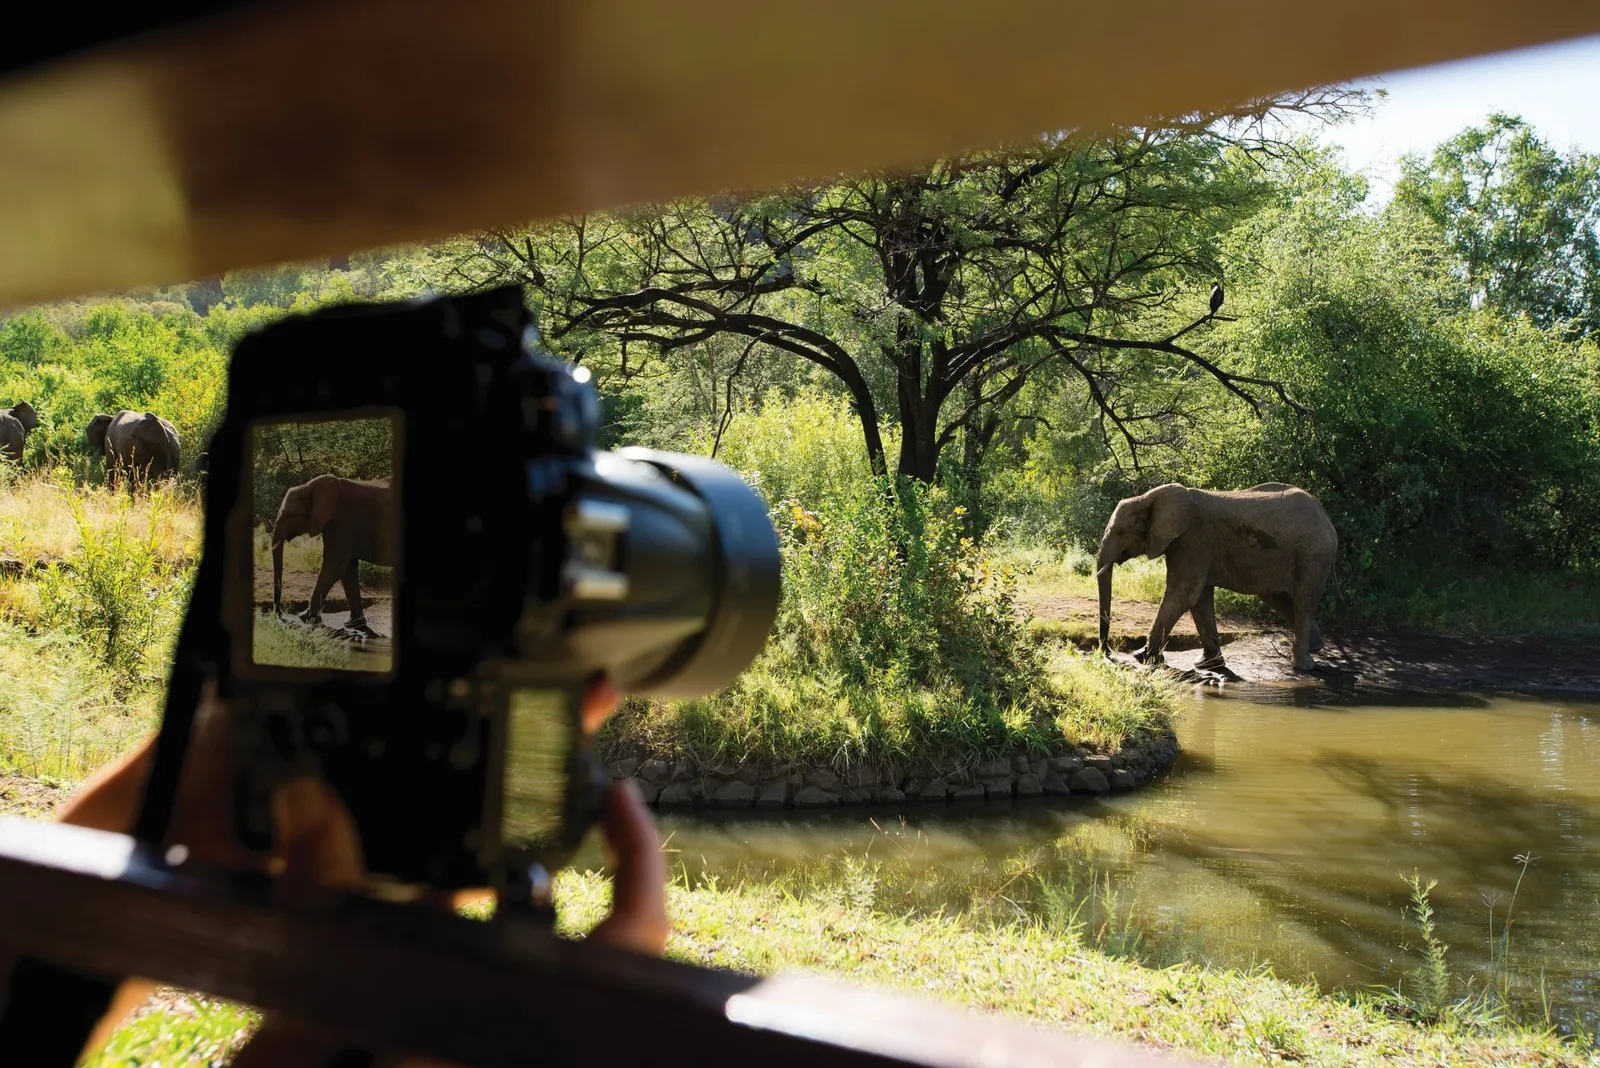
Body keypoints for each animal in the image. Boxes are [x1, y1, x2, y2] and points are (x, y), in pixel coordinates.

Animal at [270, 474, 395, 633]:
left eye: (289, 515)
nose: (281, 615)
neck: (309, 486)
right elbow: (348, 570)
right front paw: (352, 625)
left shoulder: (342, 522)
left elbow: (335, 566)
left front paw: (304, 618)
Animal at [1096, 482, 1338, 673]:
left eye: (1120, 532)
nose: (1106, 652)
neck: (1148, 497)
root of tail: (1327, 517)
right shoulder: (1195, 548)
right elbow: (1199, 599)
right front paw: (1206, 665)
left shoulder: (1192, 541)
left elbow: (1183, 594)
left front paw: (1143, 656)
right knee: (1278, 598)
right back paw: (1317, 647)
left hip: (1313, 556)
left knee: (1303, 602)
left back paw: (1303, 666)